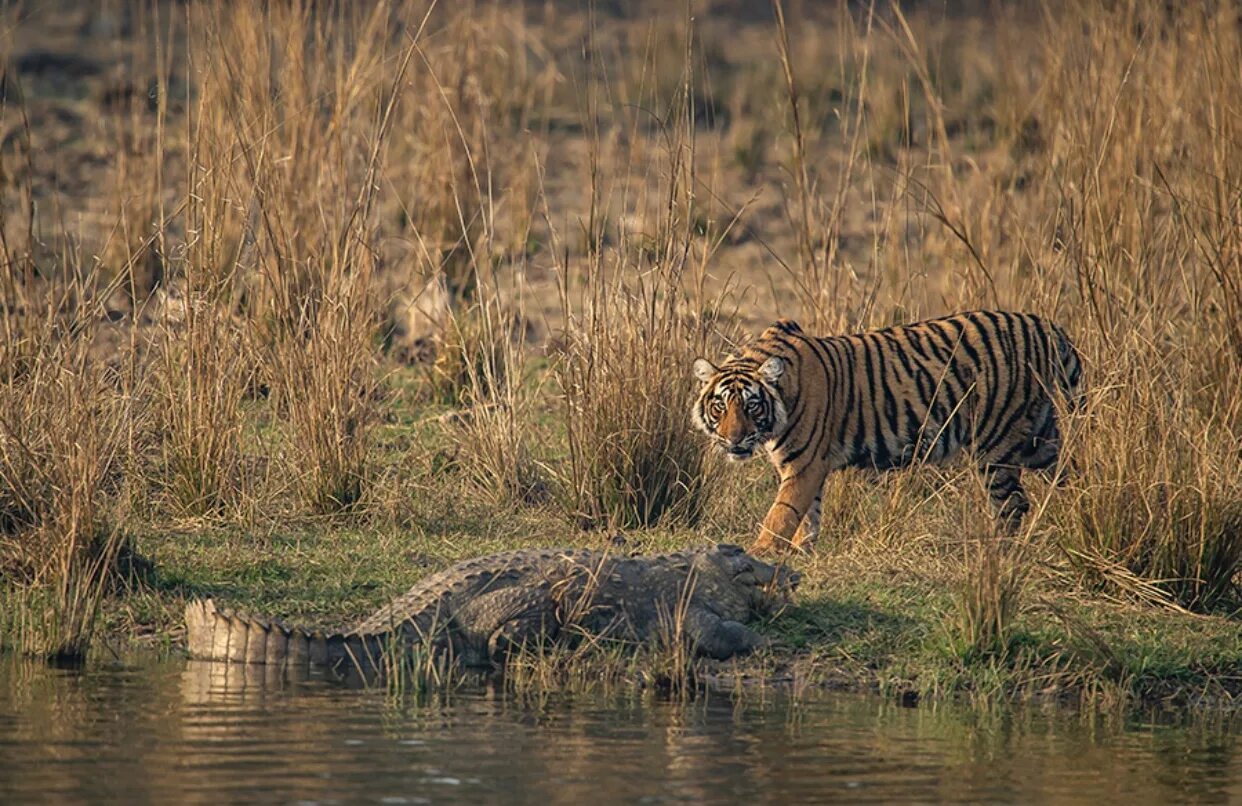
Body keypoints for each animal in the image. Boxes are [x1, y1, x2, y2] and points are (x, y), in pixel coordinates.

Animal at [695, 309, 1083, 553]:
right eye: (720, 407)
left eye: (751, 406)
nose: (733, 440)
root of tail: (1045, 325)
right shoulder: (809, 469)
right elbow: (808, 514)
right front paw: (801, 549)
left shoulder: (804, 465)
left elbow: (782, 512)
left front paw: (762, 551)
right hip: (1037, 439)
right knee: (1069, 471)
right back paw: (1082, 505)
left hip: (997, 443)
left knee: (1012, 504)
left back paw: (997, 554)